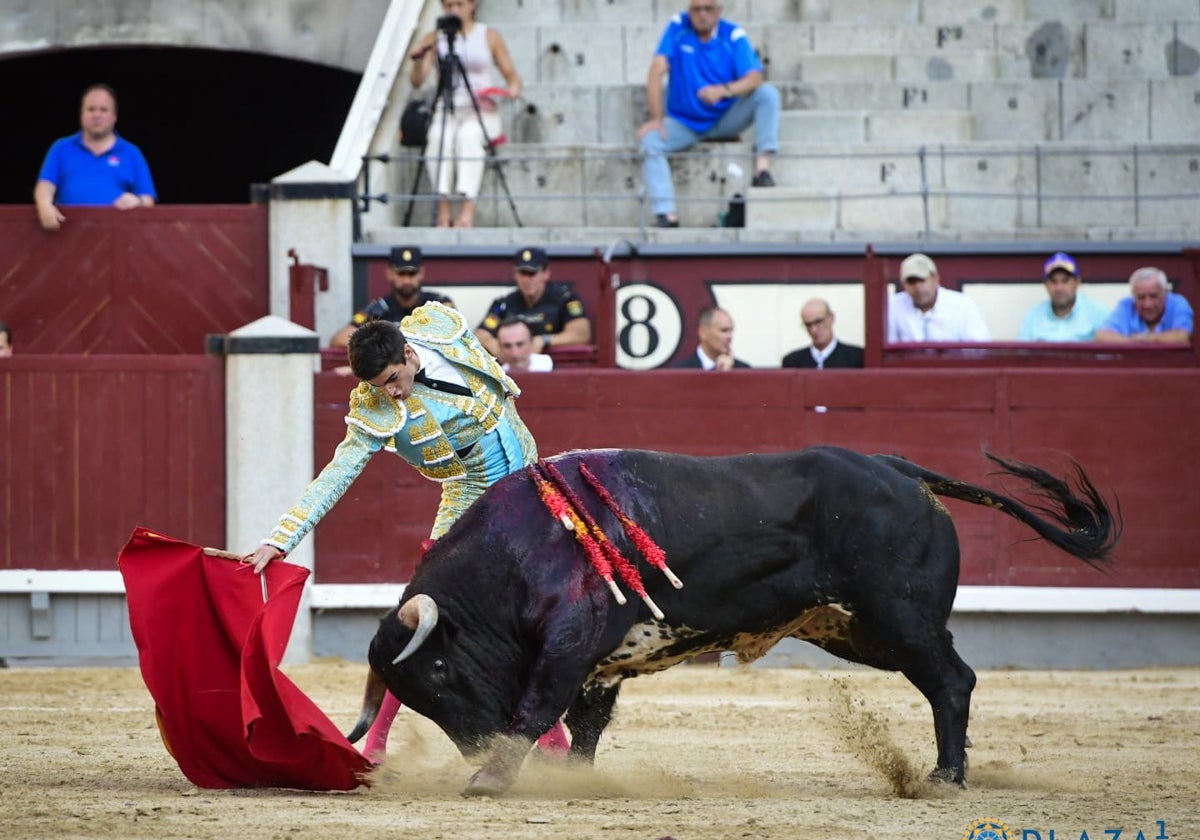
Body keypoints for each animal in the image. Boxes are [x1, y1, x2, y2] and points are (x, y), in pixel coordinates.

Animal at [345, 446, 1113, 792]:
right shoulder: (598, 663)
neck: (517, 553)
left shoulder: (566, 645)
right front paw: (579, 781)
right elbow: (586, 725)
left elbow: (535, 710)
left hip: (900, 617)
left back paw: (945, 777)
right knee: (948, 676)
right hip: (863, 629)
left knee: (952, 680)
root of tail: (899, 470)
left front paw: (490, 780)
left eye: (438, 672)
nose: (473, 750)